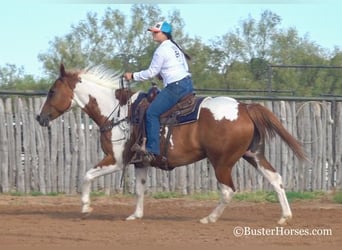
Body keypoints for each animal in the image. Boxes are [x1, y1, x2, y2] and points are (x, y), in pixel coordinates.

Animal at [37, 64, 308, 225]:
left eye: (52, 91)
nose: (40, 118)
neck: (117, 112)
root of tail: (243, 107)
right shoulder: (140, 163)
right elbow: (139, 190)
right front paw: (135, 215)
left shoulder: (116, 160)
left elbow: (86, 175)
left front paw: (85, 208)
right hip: (253, 154)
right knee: (275, 179)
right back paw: (285, 217)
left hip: (221, 162)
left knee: (228, 190)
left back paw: (209, 218)